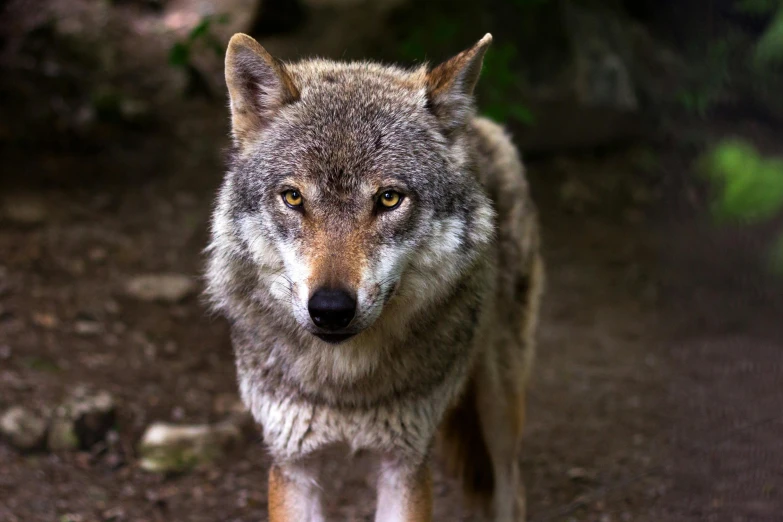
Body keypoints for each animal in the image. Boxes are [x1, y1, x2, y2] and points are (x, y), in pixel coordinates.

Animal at [205, 32, 544, 520]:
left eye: (388, 199)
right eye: (293, 197)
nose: (330, 309)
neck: (345, 385)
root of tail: (477, 125)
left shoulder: (404, 464)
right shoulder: (293, 464)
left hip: (500, 406)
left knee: (510, 489)